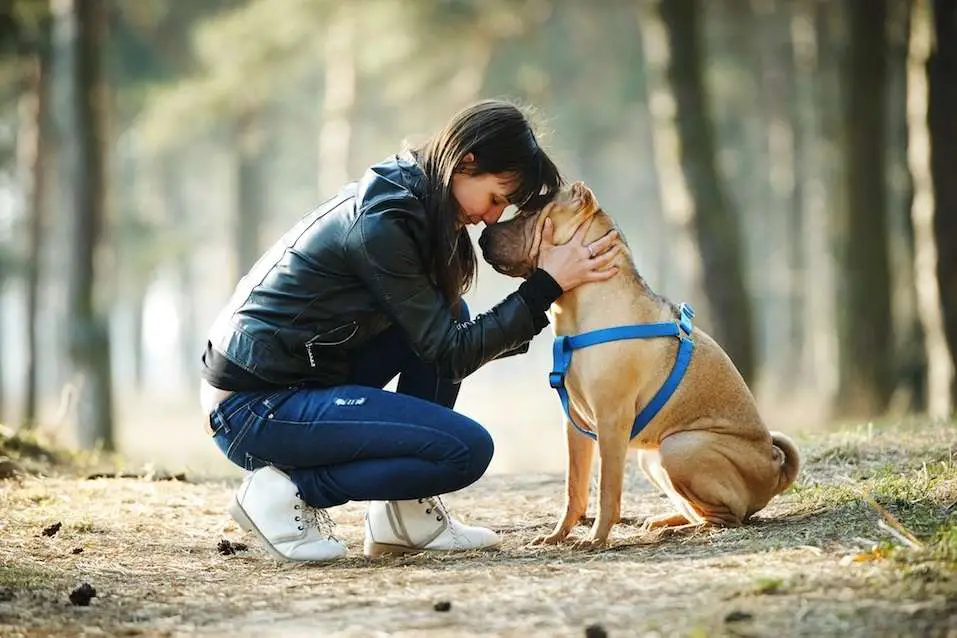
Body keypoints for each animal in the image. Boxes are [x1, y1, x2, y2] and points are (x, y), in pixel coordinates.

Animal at [478, 182, 800, 548]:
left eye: (530, 213)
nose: (482, 235)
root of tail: (775, 469)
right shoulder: (575, 425)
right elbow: (574, 489)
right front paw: (557, 535)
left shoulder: (611, 420)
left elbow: (607, 490)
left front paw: (596, 538)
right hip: (653, 457)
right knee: (701, 509)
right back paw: (663, 521)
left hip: (680, 447)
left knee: (729, 516)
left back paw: (679, 529)